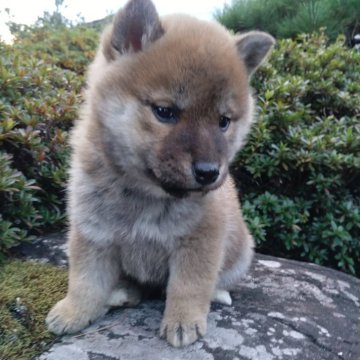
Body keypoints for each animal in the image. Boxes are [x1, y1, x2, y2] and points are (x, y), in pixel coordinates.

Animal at [46, 0, 274, 348]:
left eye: (223, 121)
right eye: (165, 112)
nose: (208, 172)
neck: (143, 193)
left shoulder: (200, 240)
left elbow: (189, 285)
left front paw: (183, 322)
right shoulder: (92, 233)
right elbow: (85, 281)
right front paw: (73, 312)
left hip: (241, 251)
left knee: (219, 280)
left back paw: (218, 294)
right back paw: (122, 293)